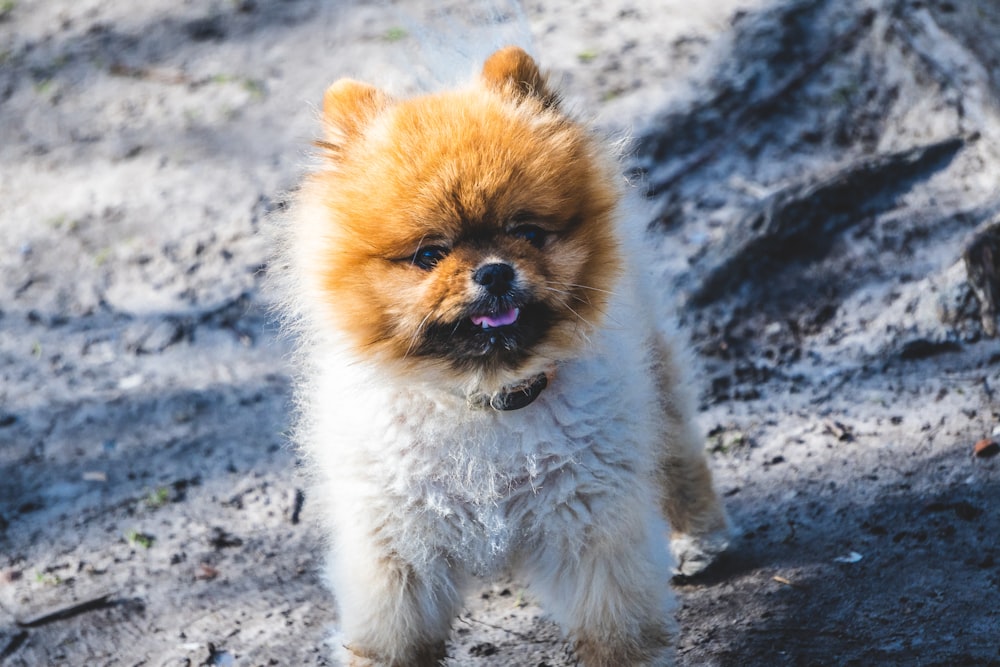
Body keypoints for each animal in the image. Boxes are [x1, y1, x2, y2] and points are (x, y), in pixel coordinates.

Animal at [278, 47, 732, 667]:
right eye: (430, 254)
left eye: (528, 232)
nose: (494, 270)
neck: (485, 403)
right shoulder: (399, 553)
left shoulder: (589, 526)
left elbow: (616, 632)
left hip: (654, 372)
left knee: (677, 449)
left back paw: (699, 536)